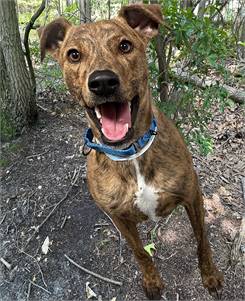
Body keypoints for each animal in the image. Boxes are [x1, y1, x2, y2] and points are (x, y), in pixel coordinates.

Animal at [38, 3, 224, 298]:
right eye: (74, 54)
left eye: (125, 46)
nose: (103, 82)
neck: (131, 154)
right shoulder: (120, 218)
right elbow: (140, 252)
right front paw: (152, 281)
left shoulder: (193, 196)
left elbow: (202, 240)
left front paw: (210, 276)